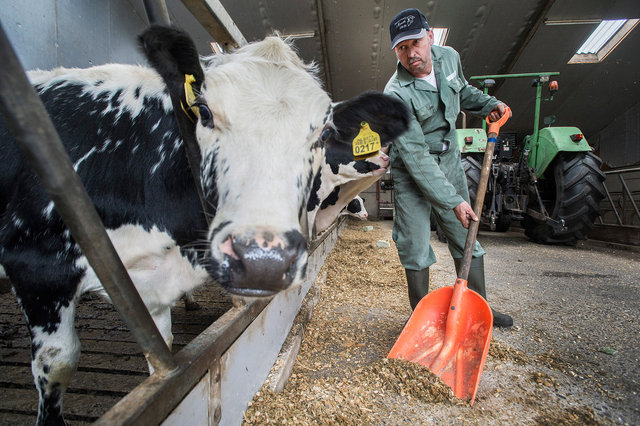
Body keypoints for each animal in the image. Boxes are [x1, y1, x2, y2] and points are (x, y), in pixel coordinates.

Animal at [0, 25, 410, 422]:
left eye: (324, 133)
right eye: (205, 112)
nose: (262, 261)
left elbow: (161, 351)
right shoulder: (36, 265)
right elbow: (58, 363)